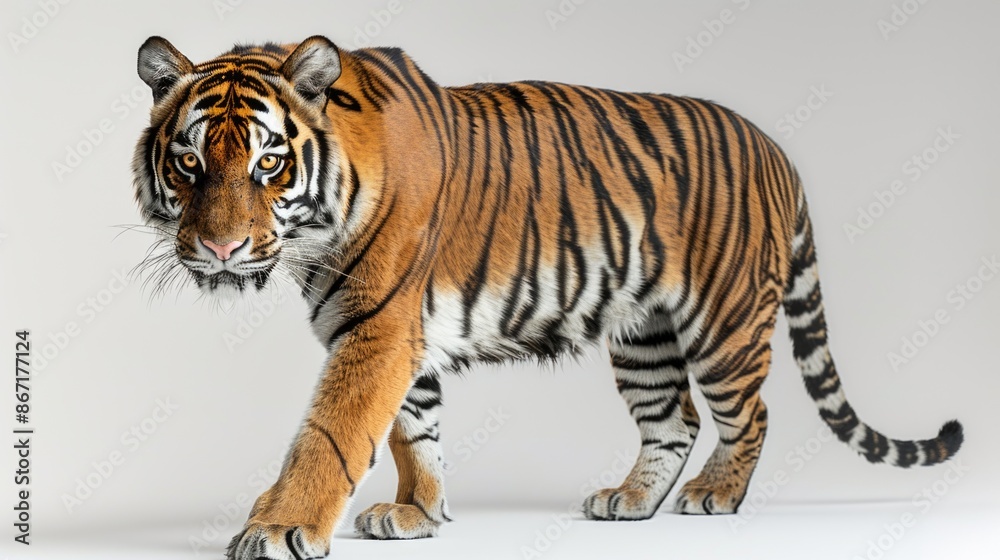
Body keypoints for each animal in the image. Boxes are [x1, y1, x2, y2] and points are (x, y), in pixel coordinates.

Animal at [131, 35, 963, 560]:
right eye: (189, 161)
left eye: (269, 163)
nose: (220, 249)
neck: (314, 231)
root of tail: (778, 149)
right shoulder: (397, 336)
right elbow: (412, 430)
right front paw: (419, 512)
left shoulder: (377, 331)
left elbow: (331, 435)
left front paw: (278, 530)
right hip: (644, 336)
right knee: (676, 420)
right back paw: (631, 501)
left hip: (723, 325)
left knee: (748, 415)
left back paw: (715, 496)